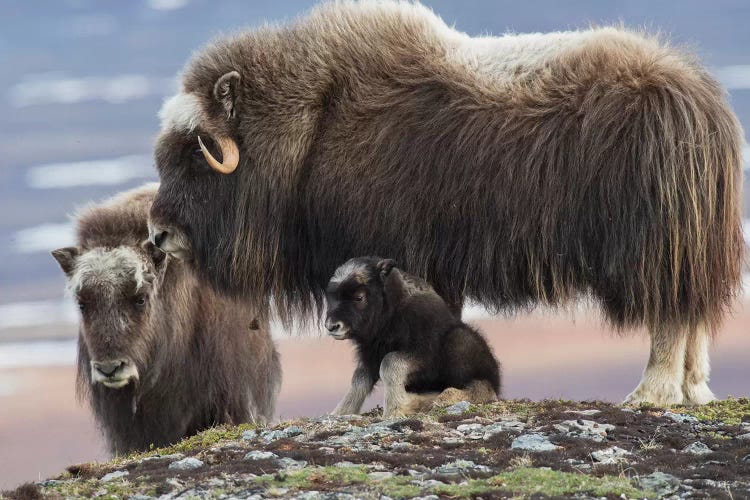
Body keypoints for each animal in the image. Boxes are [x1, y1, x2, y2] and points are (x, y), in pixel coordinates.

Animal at [326, 256, 502, 416]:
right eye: (332, 298)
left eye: (359, 297)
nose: (331, 326)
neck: (391, 313)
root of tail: (497, 379)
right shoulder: (369, 355)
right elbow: (358, 380)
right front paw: (339, 413)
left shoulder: (422, 354)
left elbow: (389, 363)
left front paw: (394, 411)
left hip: (459, 343)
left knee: (481, 387)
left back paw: (443, 397)